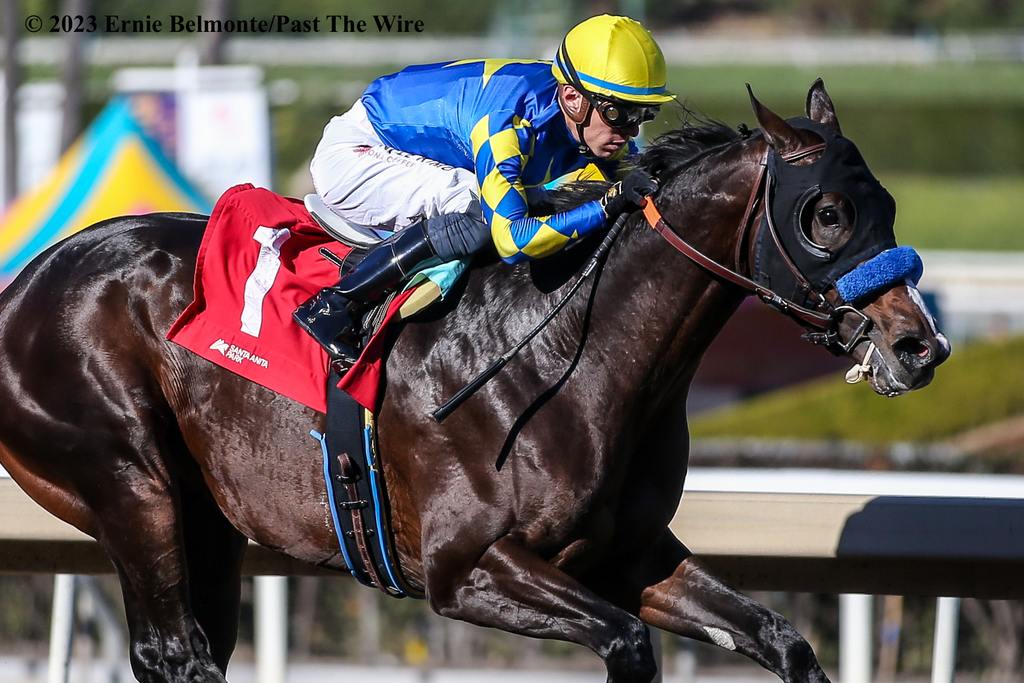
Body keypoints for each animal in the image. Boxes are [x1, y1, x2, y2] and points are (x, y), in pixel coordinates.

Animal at [0, 81, 950, 683]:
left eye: (890, 206)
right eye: (826, 214)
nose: (919, 345)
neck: (569, 351)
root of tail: (25, 281)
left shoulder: (629, 554)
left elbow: (782, 639)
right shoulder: (465, 568)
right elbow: (628, 645)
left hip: (212, 521)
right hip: (132, 483)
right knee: (175, 651)